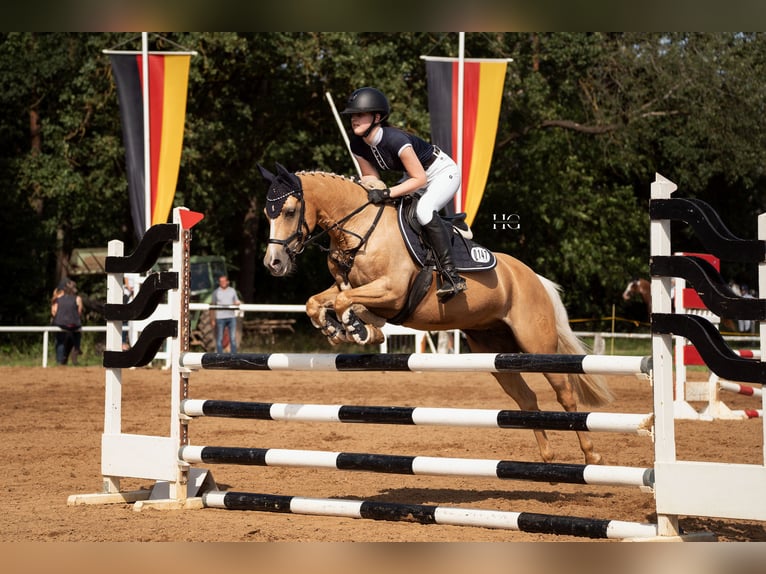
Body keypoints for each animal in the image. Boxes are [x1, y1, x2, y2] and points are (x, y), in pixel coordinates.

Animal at [260, 164, 616, 466]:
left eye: (289, 211)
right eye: (268, 214)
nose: (273, 263)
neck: (360, 229)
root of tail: (533, 277)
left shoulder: (392, 291)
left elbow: (349, 301)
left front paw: (358, 328)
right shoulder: (349, 287)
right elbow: (317, 302)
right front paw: (338, 328)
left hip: (536, 344)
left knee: (566, 393)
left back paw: (592, 456)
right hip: (492, 350)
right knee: (526, 398)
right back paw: (547, 456)